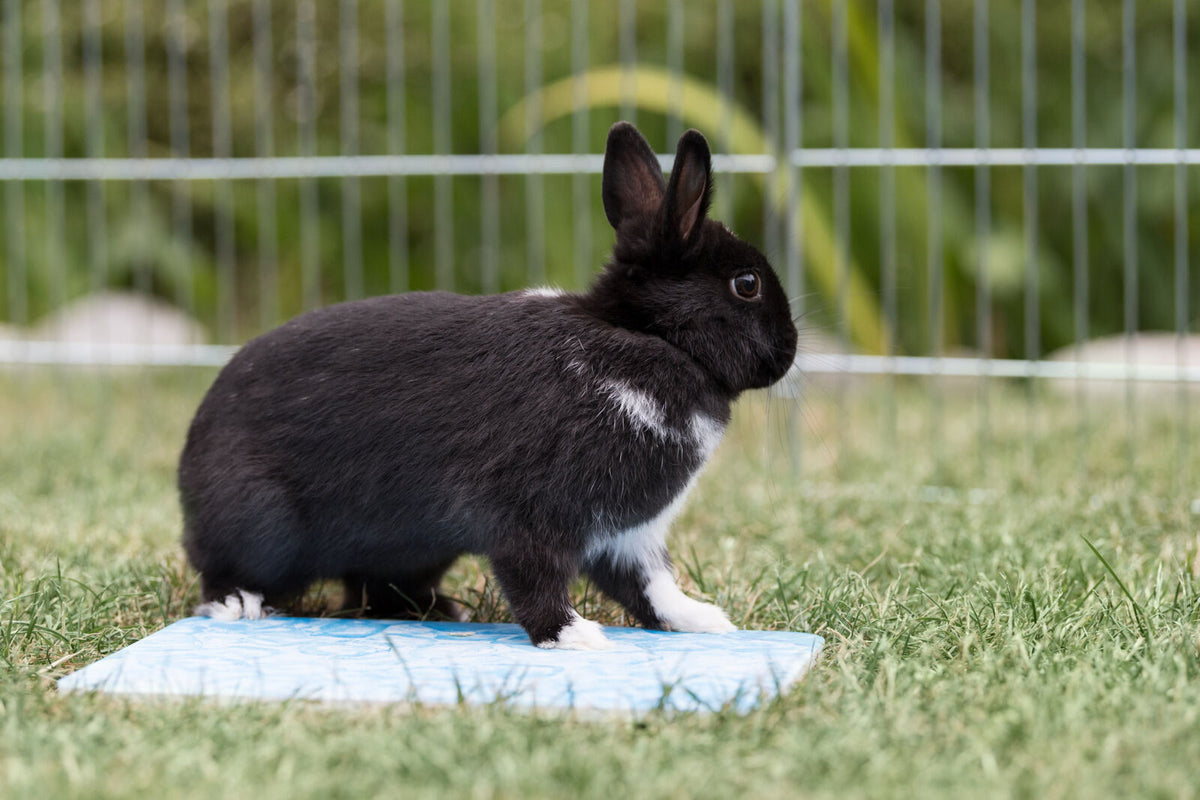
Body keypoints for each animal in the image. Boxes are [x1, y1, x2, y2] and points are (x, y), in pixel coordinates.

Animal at [178, 121, 798, 650]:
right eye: (746, 285)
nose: (790, 350)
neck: (647, 337)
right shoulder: (529, 517)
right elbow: (536, 578)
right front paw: (574, 637)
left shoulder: (629, 535)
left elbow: (652, 586)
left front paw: (704, 621)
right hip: (260, 522)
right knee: (224, 573)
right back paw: (239, 604)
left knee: (372, 589)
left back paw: (441, 610)